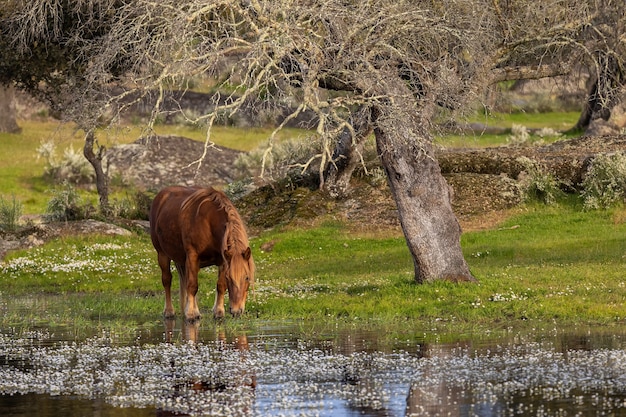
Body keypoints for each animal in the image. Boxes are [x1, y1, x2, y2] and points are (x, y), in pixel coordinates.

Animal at [149, 185, 254, 318]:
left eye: (247, 277)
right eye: (229, 277)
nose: (236, 311)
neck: (209, 222)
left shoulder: (223, 260)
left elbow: (220, 285)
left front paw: (219, 311)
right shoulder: (193, 256)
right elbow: (192, 285)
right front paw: (191, 313)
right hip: (162, 254)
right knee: (167, 280)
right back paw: (169, 311)